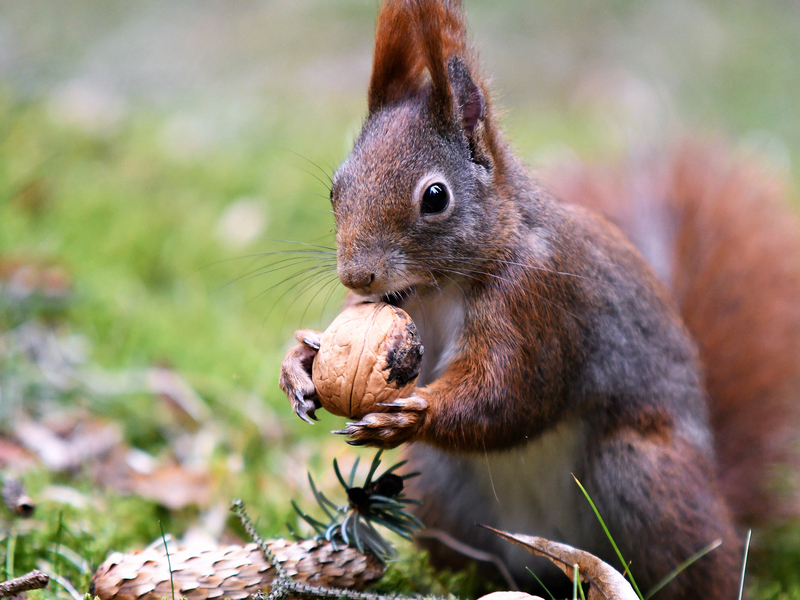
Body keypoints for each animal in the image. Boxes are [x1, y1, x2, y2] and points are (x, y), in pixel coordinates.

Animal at [278, 2, 800, 596]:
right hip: (439, 490)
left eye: (435, 197)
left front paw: (412, 416)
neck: (440, 286)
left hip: (644, 475)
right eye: (335, 188)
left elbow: (510, 395)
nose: (357, 275)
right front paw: (300, 364)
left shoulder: (539, 301)